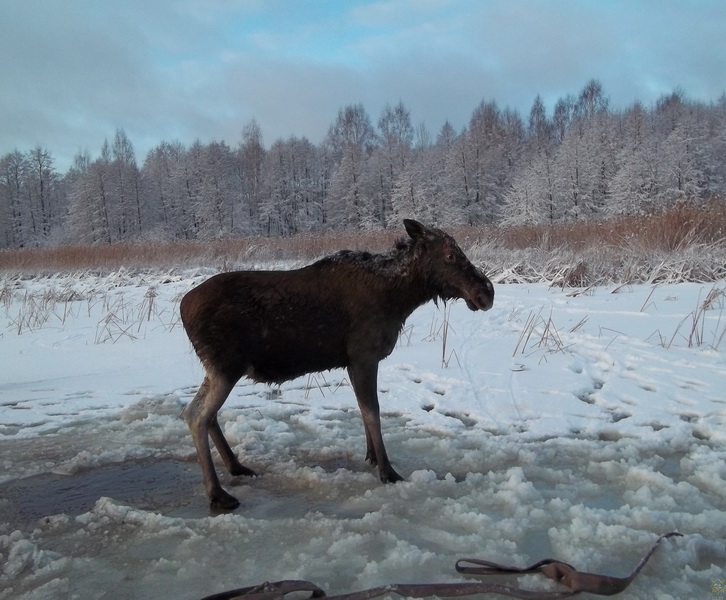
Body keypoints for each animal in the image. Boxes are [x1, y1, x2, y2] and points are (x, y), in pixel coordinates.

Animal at [181, 218, 494, 508]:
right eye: (450, 255)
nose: (486, 292)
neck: (399, 298)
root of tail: (183, 306)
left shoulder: (352, 361)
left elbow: (363, 410)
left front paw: (371, 457)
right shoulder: (364, 354)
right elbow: (373, 411)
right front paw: (387, 471)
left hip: (218, 369)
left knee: (205, 414)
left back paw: (236, 466)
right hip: (226, 366)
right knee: (196, 415)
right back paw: (218, 493)